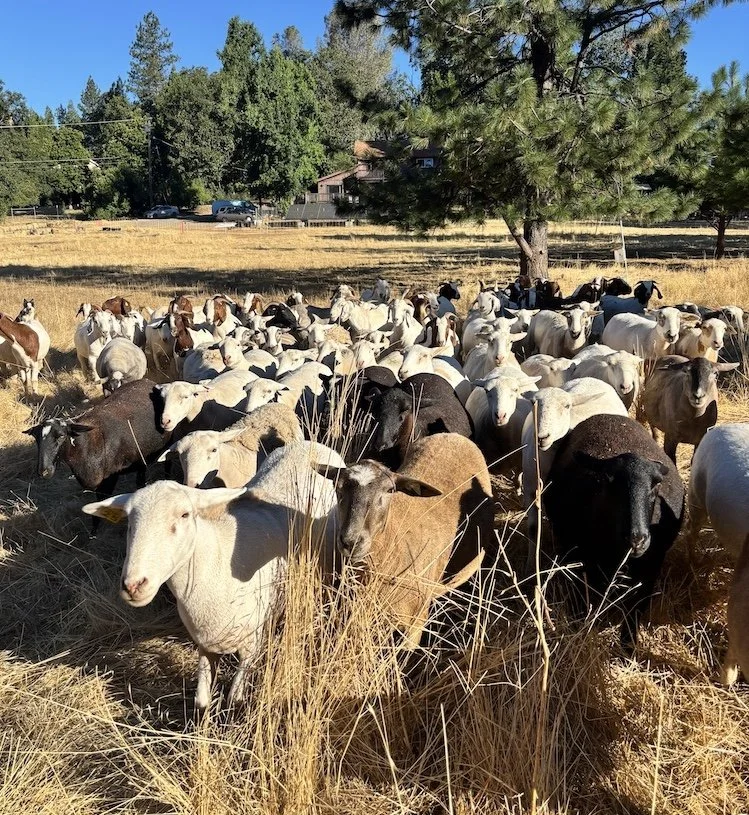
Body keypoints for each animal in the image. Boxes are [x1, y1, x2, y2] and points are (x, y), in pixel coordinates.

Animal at [24, 379, 170, 532]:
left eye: (61, 436)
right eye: (36, 438)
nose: (44, 471)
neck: (85, 445)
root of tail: (147, 381)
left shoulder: (109, 480)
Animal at [83, 440, 345, 709]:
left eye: (185, 514)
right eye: (129, 521)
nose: (134, 585)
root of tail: (309, 444)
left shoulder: (251, 644)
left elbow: (234, 699)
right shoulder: (205, 644)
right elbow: (201, 701)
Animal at [543, 413, 684, 649]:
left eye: (656, 486)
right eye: (604, 482)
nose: (637, 540)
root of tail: (609, 415)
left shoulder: (651, 568)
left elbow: (633, 614)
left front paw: (628, 650)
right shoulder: (578, 560)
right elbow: (580, 606)